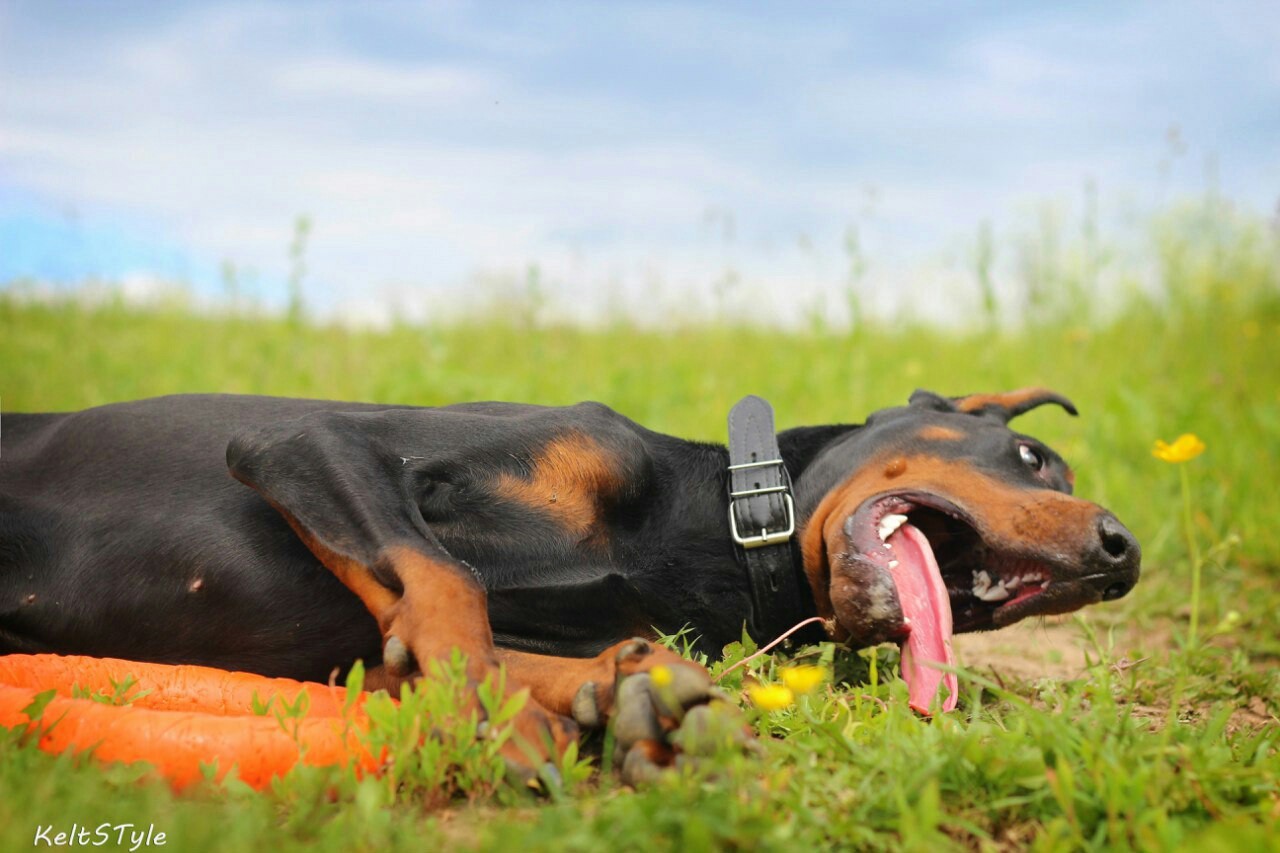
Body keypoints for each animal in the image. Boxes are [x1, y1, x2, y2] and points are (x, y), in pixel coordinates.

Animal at [0, 389, 1141, 773]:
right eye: (1034, 457)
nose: (1122, 551)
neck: (710, 525)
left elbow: (457, 643)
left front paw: (627, 699)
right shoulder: (307, 443)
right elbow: (447, 586)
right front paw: (496, 730)